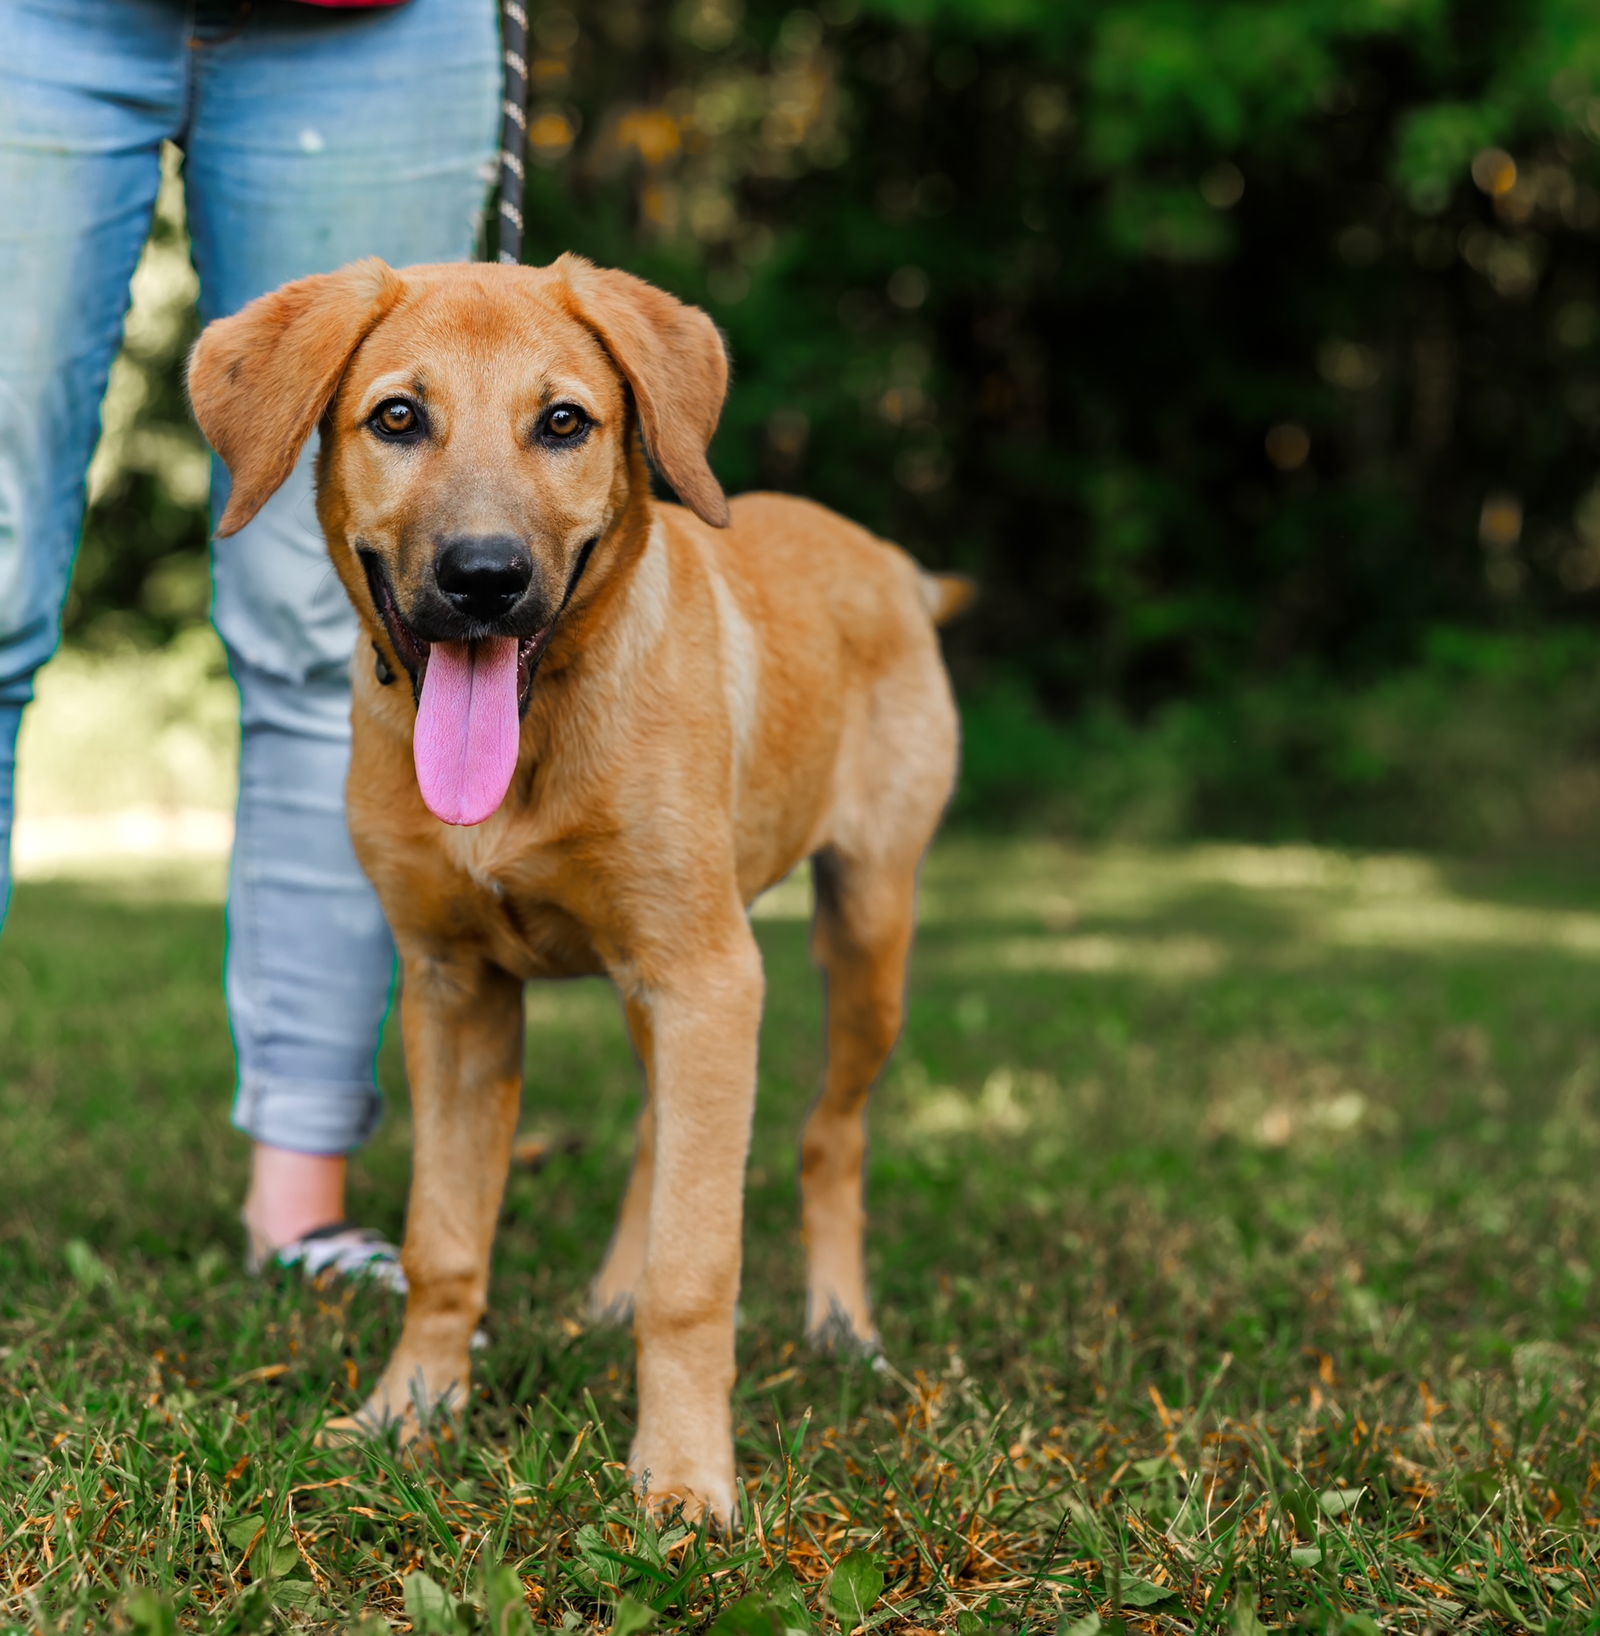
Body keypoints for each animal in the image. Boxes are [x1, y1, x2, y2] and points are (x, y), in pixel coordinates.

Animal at [187, 251, 961, 1518]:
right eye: (396, 418)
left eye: (564, 422)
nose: (485, 578)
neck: (534, 743)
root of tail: (888, 559)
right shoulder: (459, 991)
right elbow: (445, 1243)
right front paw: (409, 1414)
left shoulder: (703, 976)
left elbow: (698, 1265)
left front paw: (683, 1475)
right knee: (660, 1129)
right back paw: (609, 1294)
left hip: (861, 930)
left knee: (827, 1137)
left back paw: (841, 1326)